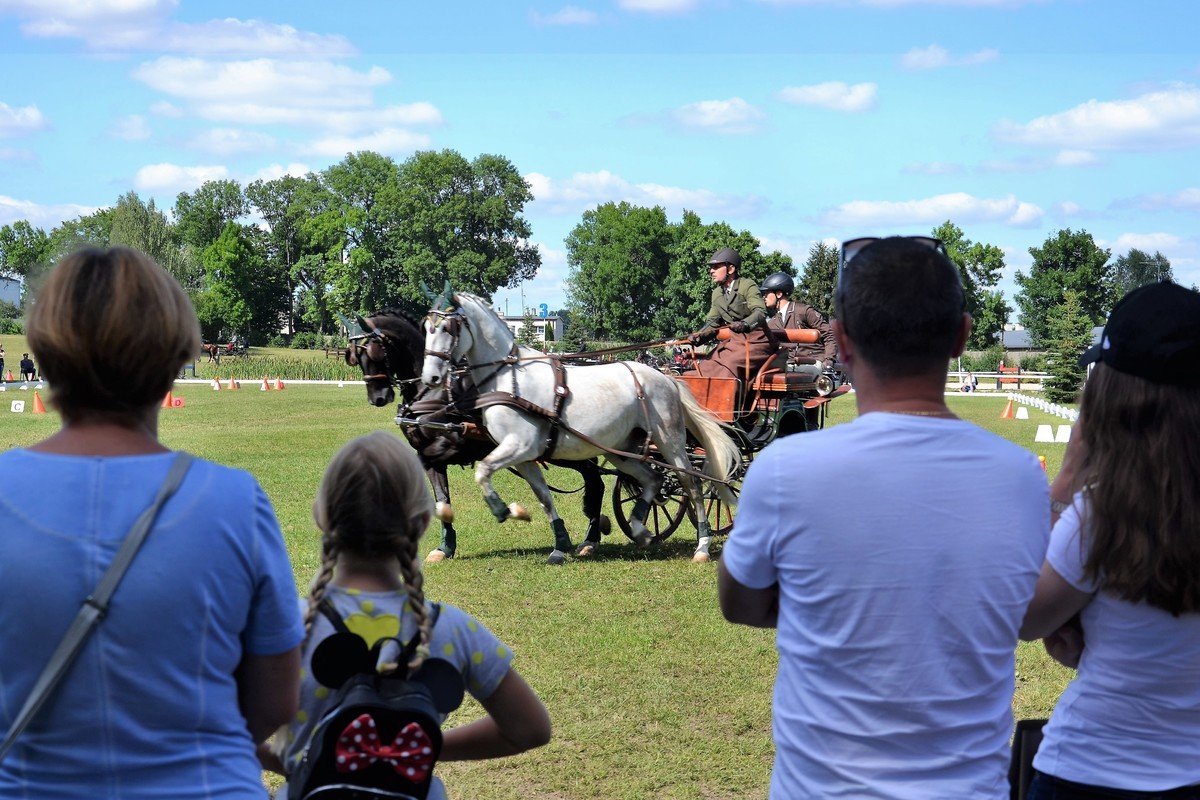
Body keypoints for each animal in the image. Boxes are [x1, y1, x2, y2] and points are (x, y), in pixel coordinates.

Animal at [348, 309, 609, 563]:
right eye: (354, 357)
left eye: (374, 352)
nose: (377, 398)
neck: (433, 392)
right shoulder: (431, 459)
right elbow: (441, 500)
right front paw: (445, 547)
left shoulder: (449, 445)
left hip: (565, 451)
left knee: (596, 481)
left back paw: (591, 539)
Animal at [422, 292, 739, 563]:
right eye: (426, 327)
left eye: (447, 328)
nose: (431, 378)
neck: (509, 377)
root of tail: (666, 378)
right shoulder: (524, 456)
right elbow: (544, 498)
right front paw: (558, 544)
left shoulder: (519, 445)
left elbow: (483, 470)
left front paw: (504, 510)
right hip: (620, 449)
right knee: (652, 479)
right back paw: (640, 530)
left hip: (670, 441)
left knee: (693, 485)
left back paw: (702, 545)